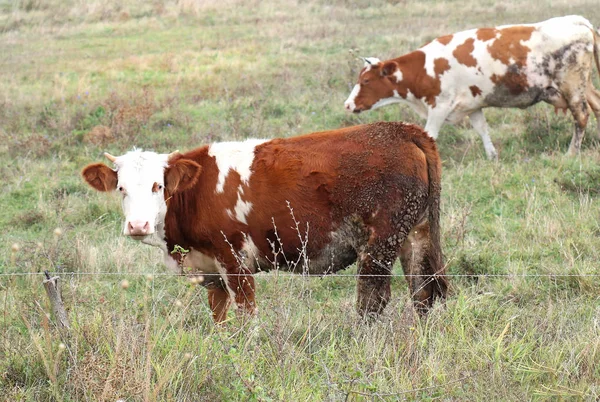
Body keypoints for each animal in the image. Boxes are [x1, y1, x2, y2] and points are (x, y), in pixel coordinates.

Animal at [81, 122, 446, 324]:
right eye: (121, 188)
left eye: (158, 186)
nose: (138, 225)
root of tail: (403, 130)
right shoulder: (211, 270)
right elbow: (220, 318)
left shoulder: (235, 261)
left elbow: (246, 317)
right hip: (416, 233)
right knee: (424, 292)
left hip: (379, 243)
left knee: (372, 300)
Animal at [344, 15, 600, 160]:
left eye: (365, 81)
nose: (347, 105)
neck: (426, 66)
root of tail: (577, 20)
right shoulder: (472, 105)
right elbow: (482, 128)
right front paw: (492, 155)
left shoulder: (439, 106)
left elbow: (430, 134)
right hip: (585, 86)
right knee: (597, 105)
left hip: (572, 87)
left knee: (582, 116)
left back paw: (571, 153)